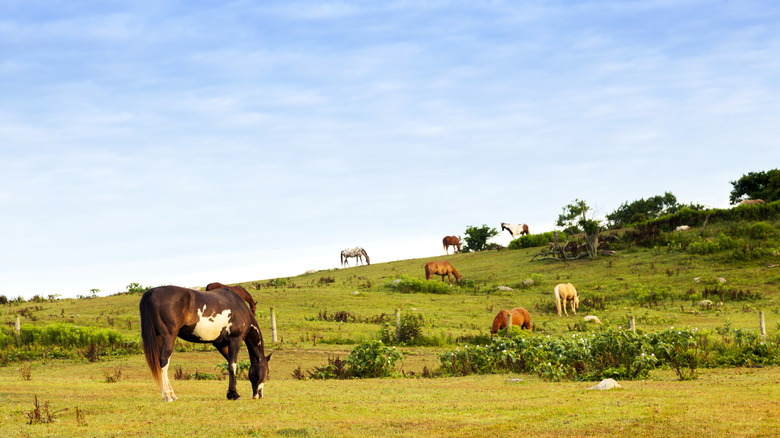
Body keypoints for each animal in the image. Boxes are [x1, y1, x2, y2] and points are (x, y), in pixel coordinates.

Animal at [139, 285, 271, 401]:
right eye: (267, 372)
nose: (258, 395)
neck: (240, 308)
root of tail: (151, 292)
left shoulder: (221, 344)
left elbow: (229, 364)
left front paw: (230, 393)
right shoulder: (235, 340)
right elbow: (233, 365)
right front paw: (234, 394)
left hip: (159, 338)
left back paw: (172, 395)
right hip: (169, 337)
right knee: (164, 361)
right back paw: (168, 396)